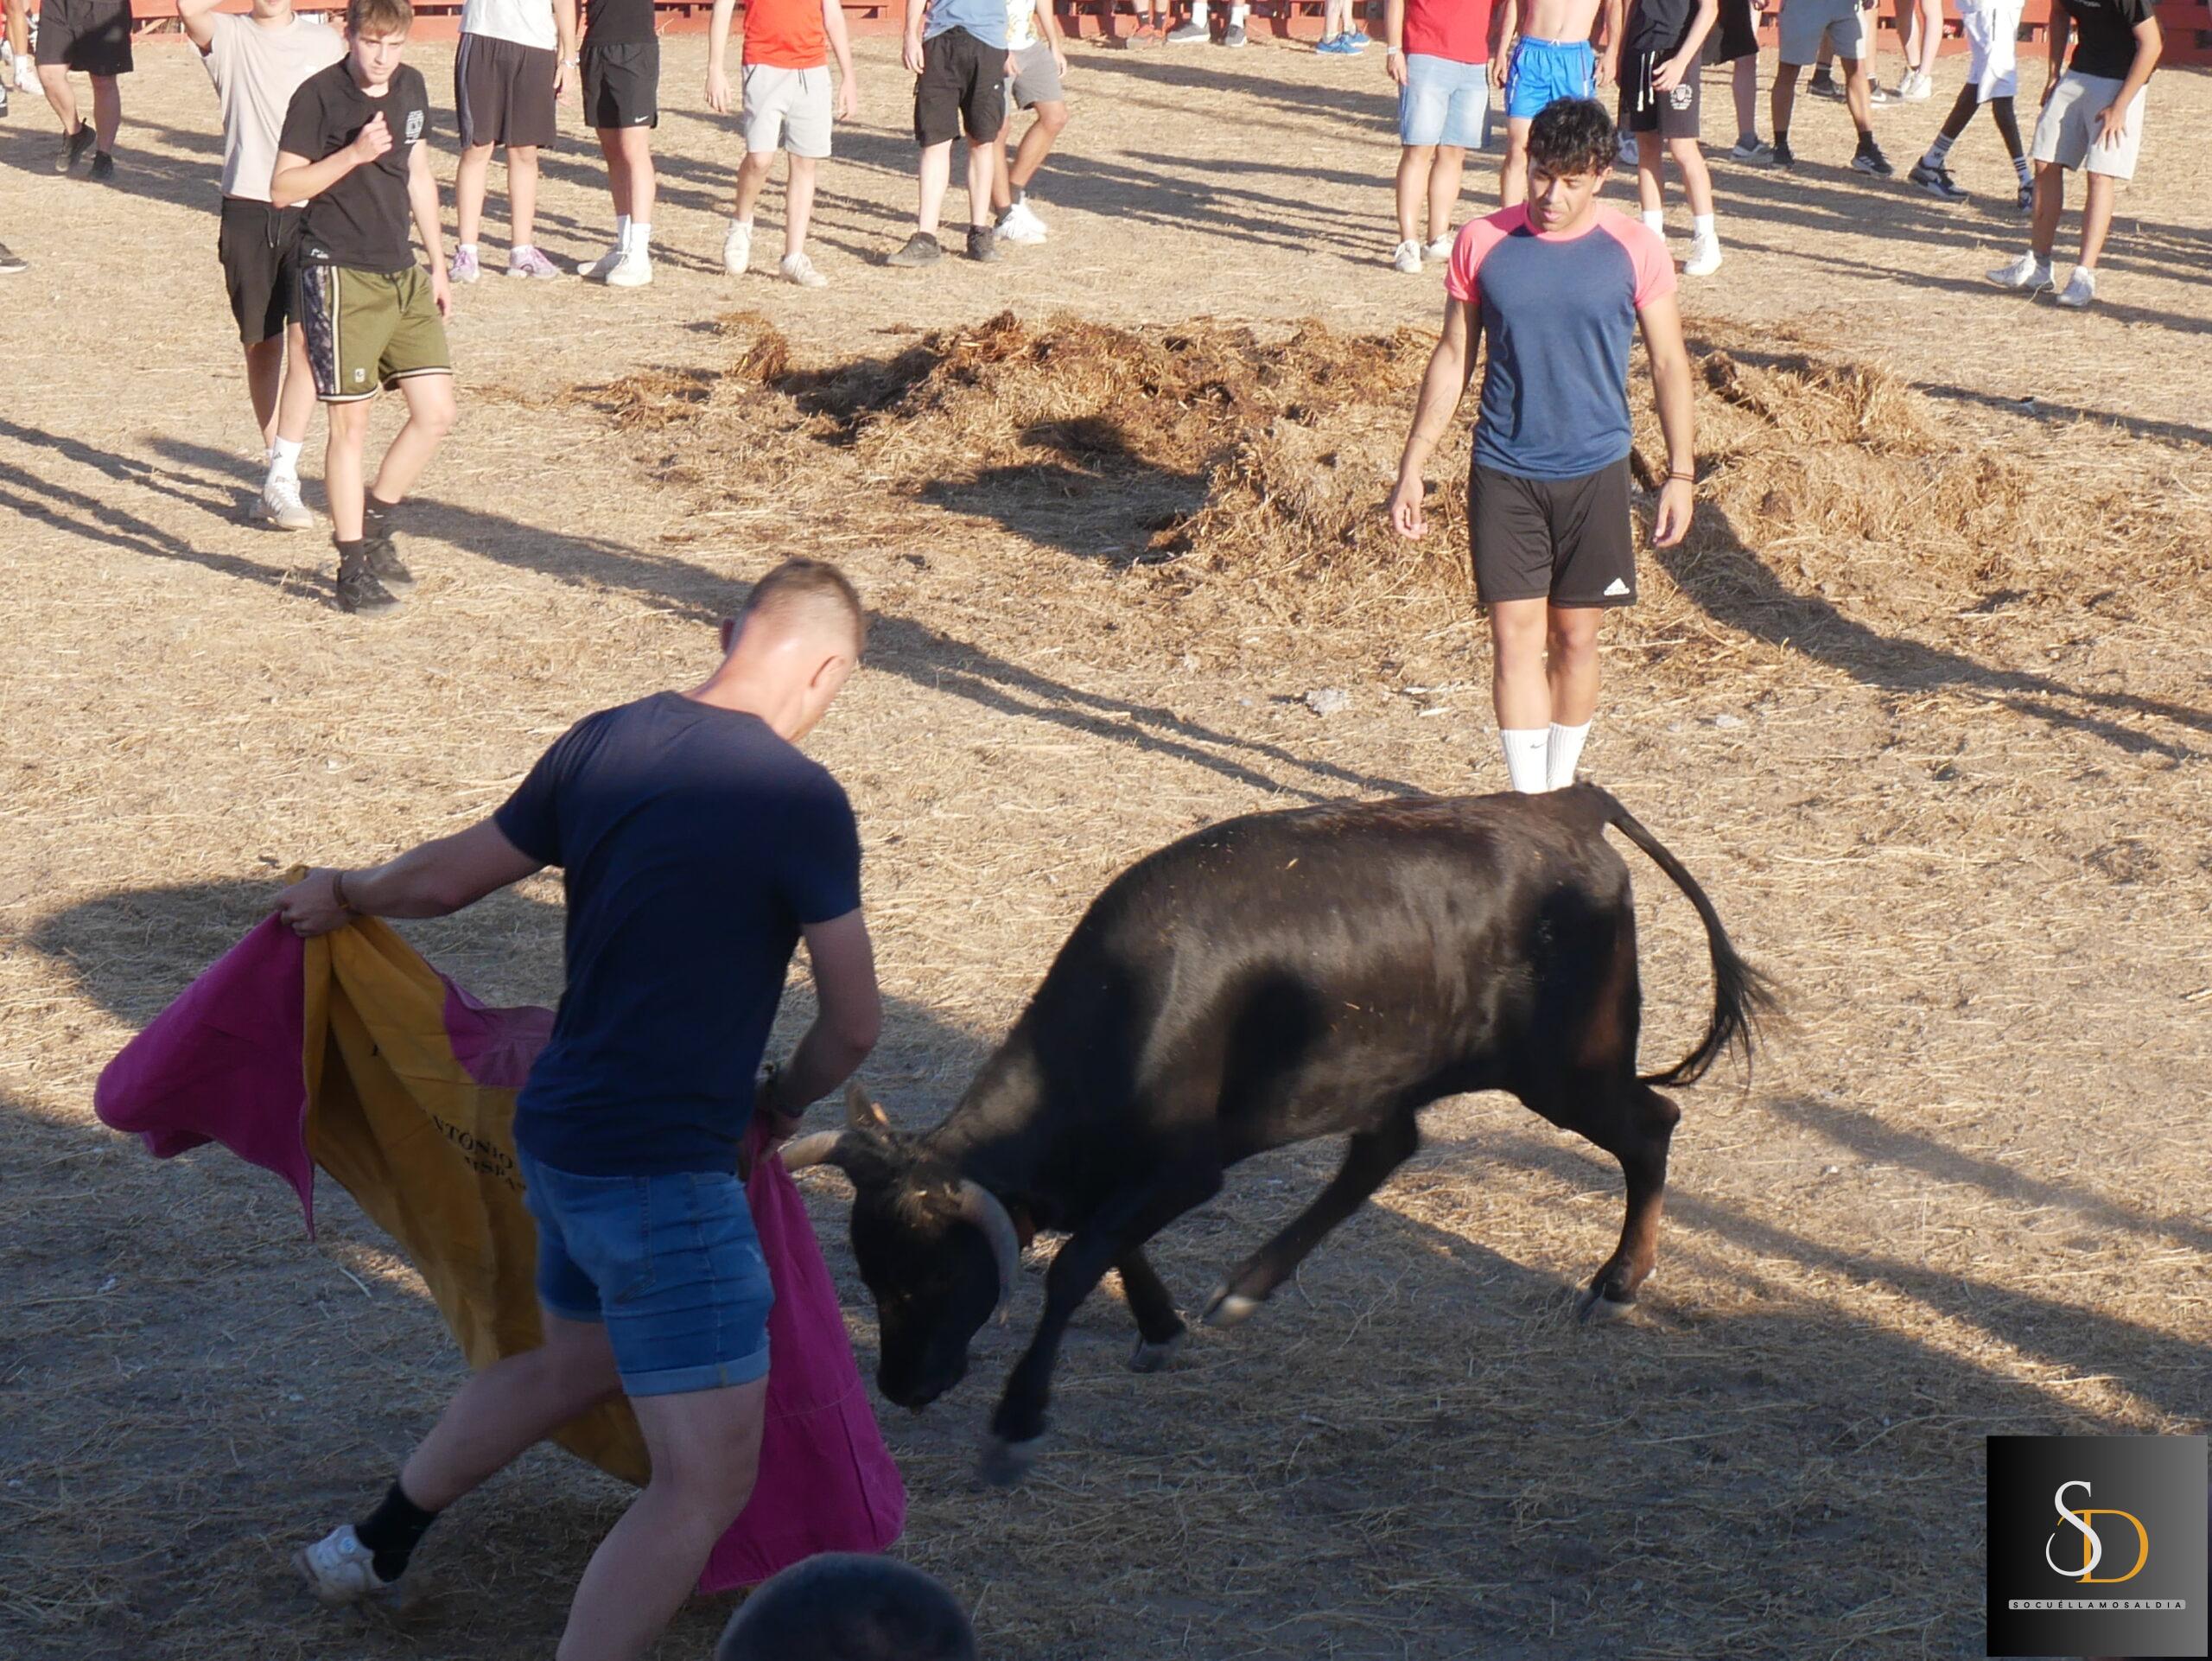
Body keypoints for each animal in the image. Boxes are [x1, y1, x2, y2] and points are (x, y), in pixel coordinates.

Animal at [784, 785, 1777, 1484]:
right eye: (868, 1274)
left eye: (936, 1275)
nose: (901, 1387)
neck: (1128, 1004)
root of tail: (1565, 804)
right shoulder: (1118, 1169)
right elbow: (1106, 1241)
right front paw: (1161, 1326)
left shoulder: (1187, 1170)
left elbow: (1077, 1261)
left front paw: (1017, 1425)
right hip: (1400, 1071)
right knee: (1384, 1151)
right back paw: (1246, 1288)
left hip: (1569, 1068)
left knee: (1650, 1126)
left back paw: (1618, 1283)